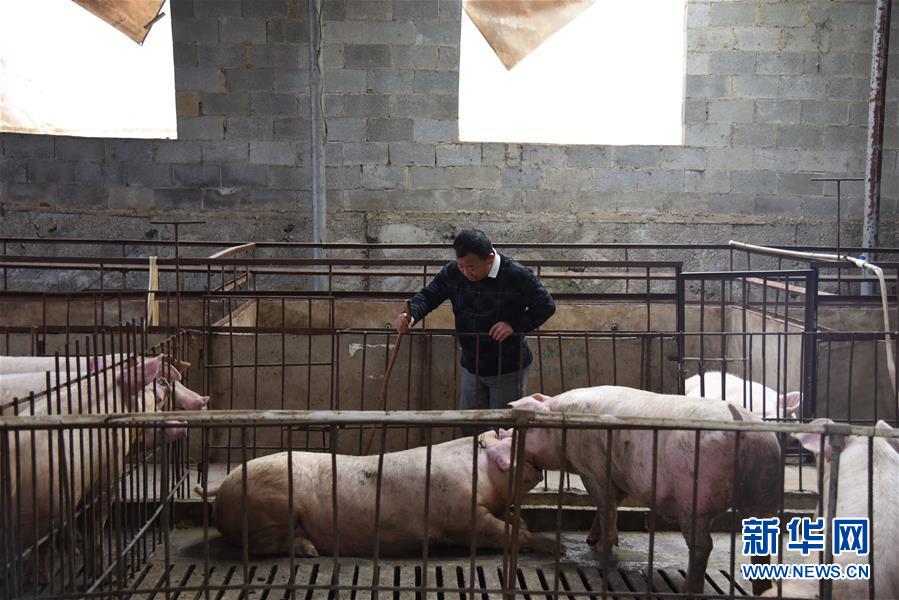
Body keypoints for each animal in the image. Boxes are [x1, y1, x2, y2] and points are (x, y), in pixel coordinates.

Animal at [200, 432, 560, 556]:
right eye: (511, 440)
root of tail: (223, 483)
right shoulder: (461, 515)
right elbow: (500, 531)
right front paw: (551, 545)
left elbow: (512, 522)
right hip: (271, 505)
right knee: (262, 544)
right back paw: (310, 551)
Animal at [510, 384, 784, 596]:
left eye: (530, 429)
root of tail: (739, 421)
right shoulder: (619, 476)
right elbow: (610, 506)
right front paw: (592, 539)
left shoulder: (594, 470)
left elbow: (605, 506)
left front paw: (600, 549)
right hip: (765, 488)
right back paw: (762, 591)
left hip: (694, 498)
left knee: (702, 545)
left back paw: (688, 590)